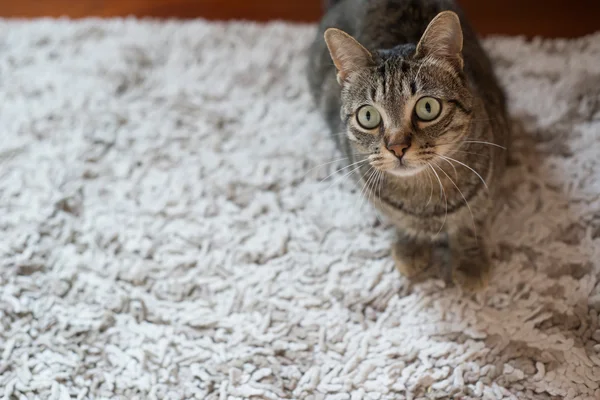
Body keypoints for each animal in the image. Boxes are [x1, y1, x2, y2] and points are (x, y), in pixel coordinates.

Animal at [308, 0, 508, 290]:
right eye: (368, 116)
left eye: (428, 107)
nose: (397, 147)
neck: (424, 198)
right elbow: (400, 221)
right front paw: (411, 246)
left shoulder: (491, 180)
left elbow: (472, 219)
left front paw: (470, 260)